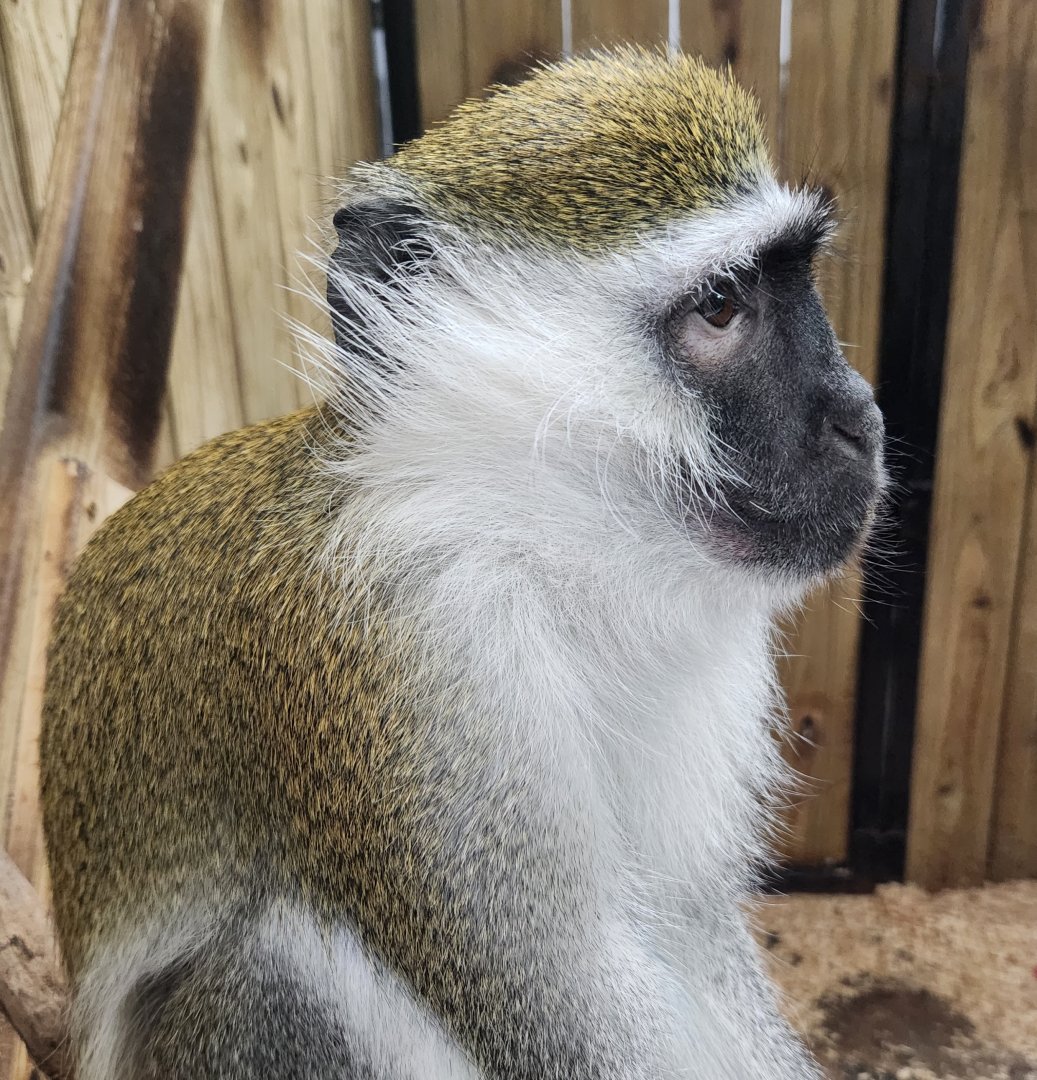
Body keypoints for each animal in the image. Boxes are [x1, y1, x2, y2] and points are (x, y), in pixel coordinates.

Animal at [40, 48, 885, 1080]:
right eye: (722, 306)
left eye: (793, 276)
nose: (859, 417)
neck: (541, 542)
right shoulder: (407, 656)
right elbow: (560, 1007)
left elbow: (689, 932)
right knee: (269, 968)